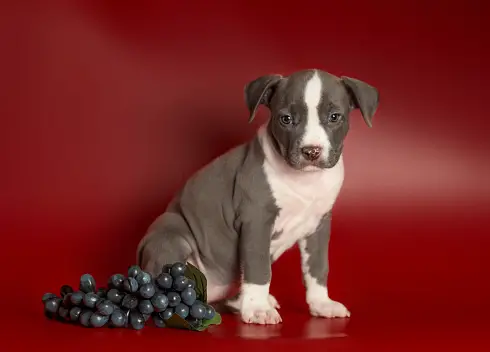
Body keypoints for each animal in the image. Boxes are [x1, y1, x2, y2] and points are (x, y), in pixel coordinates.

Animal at [136, 68, 380, 324]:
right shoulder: (256, 221)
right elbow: (258, 267)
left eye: (334, 117)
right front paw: (257, 308)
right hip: (171, 236)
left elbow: (318, 267)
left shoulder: (319, 226)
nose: (311, 151)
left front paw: (321, 304)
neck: (304, 180)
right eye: (286, 119)